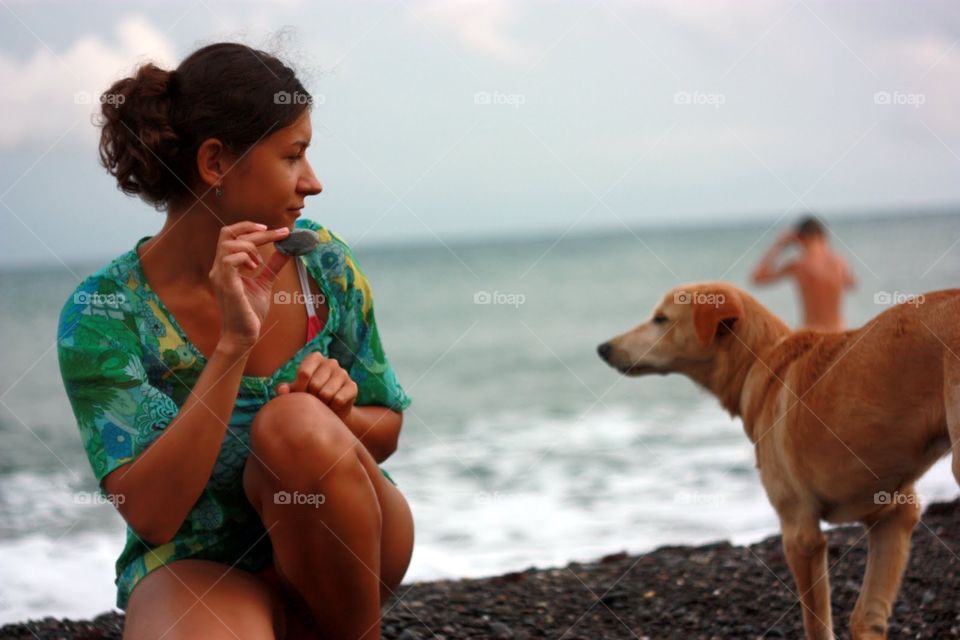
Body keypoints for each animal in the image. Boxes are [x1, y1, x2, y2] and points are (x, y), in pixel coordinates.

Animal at [596, 284, 956, 640]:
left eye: (661, 319)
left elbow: (817, 625)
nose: (603, 348)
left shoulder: (800, 534)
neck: (763, 362)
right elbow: (867, 618)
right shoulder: (894, 516)